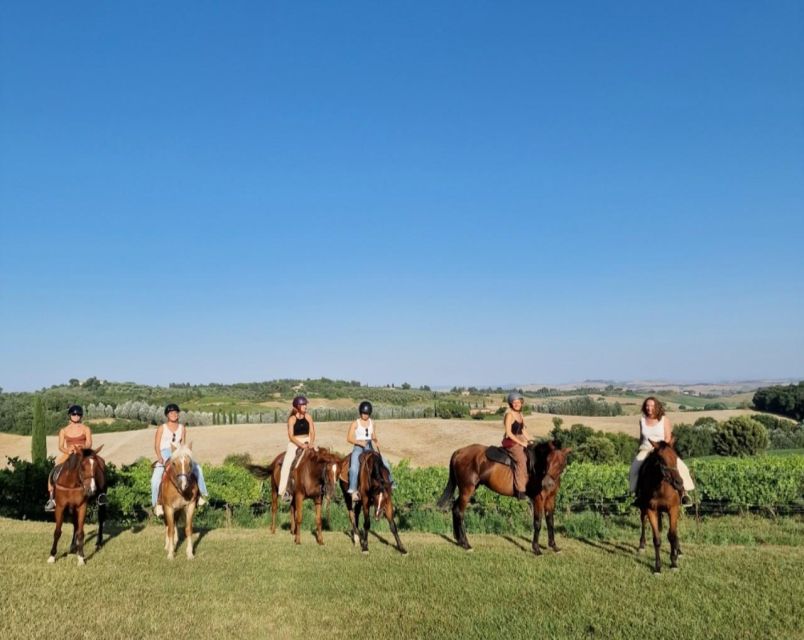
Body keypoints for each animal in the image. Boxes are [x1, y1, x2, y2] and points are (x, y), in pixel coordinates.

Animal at [440, 440, 572, 556]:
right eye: (547, 461)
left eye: (561, 463)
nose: (547, 484)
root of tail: (459, 452)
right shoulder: (538, 499)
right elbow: (538, 523)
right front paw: (537, 549)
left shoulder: (550, 499)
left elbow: (550, 521)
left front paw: (554, 546)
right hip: (467, 490)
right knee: (460, 512)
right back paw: (466, 544)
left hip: (466, 490)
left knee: (455, 509)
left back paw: (459, 540)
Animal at [636, 440, 680, 576]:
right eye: (662, 460)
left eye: (675, 457)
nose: (679, 483)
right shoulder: (651, 510)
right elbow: (657, 539)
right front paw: (658, 567)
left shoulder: (673, 509)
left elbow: (672, 535)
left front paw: (674, 562)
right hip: (644, 509)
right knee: (643, 521)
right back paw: (641, 545)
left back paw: (679, 550)